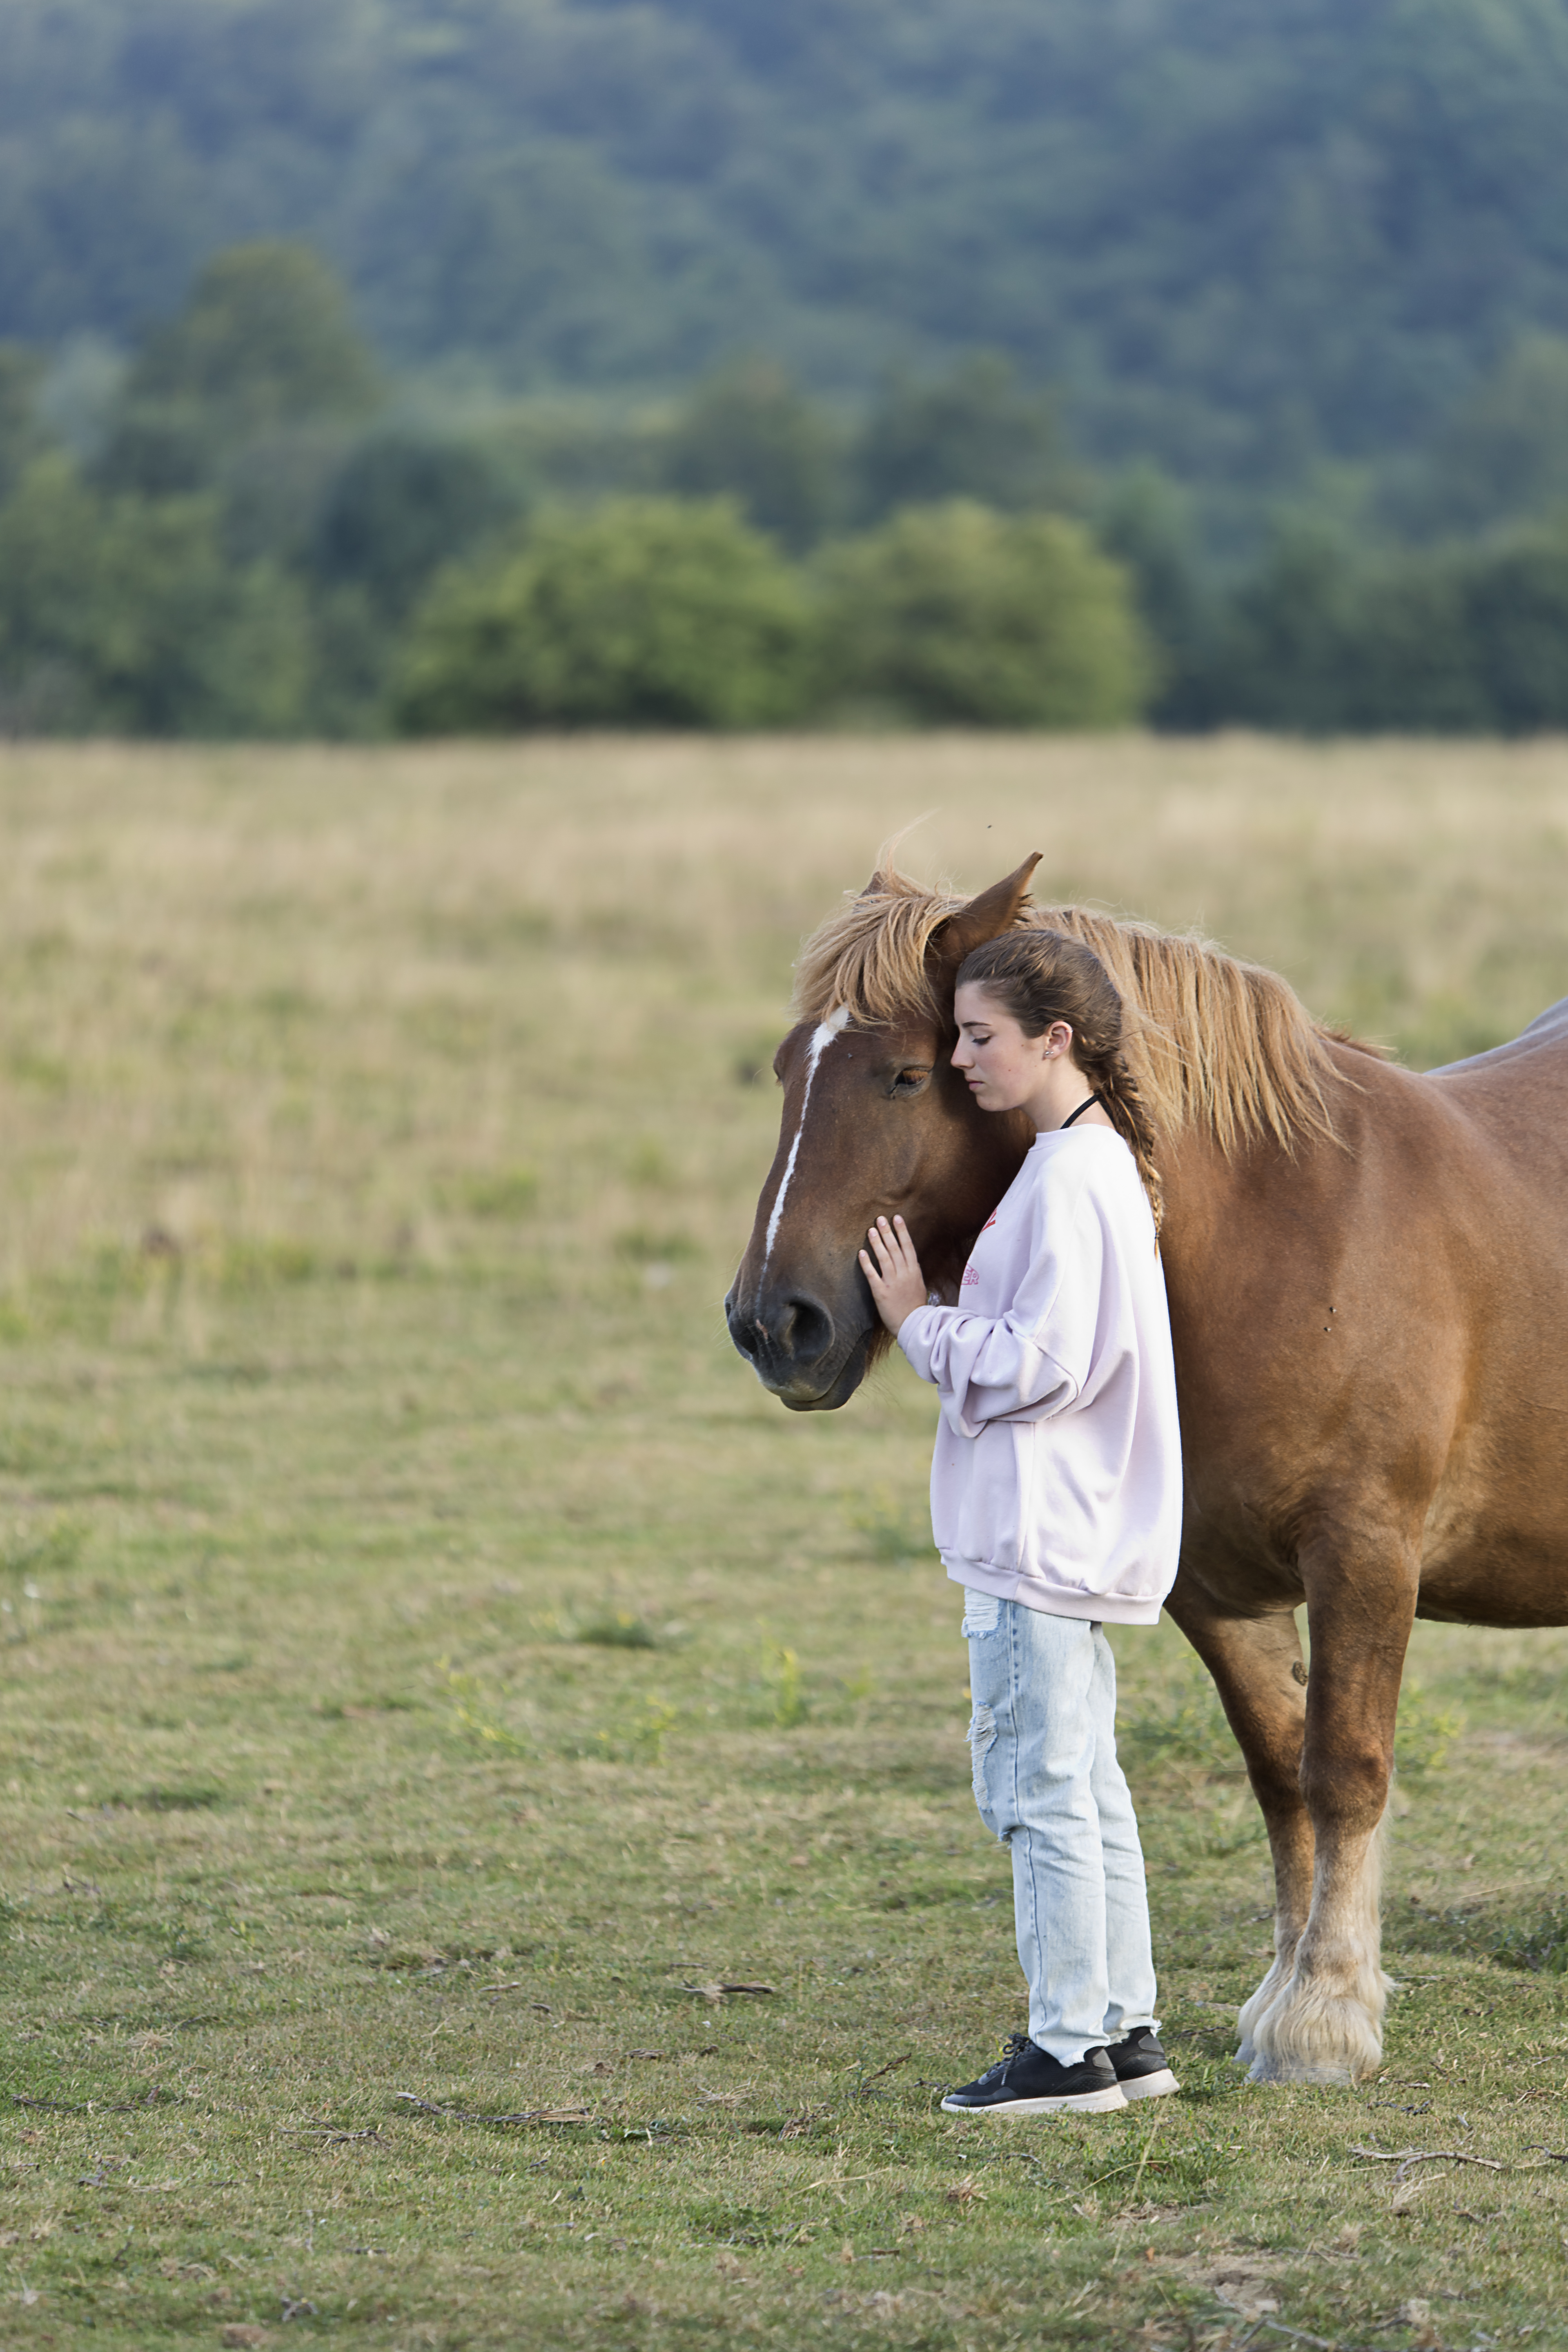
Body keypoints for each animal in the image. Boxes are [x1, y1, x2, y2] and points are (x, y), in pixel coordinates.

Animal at [725, 853, 1568, 2085]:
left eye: (909, 1073)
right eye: (789, 1068)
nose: (772, 1323)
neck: (1278, 1237)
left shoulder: (1365, 1555)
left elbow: (1345, 1766)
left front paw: (1325, 2015)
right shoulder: (1212, 1588)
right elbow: (1279, 1774)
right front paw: (1282, 1995)